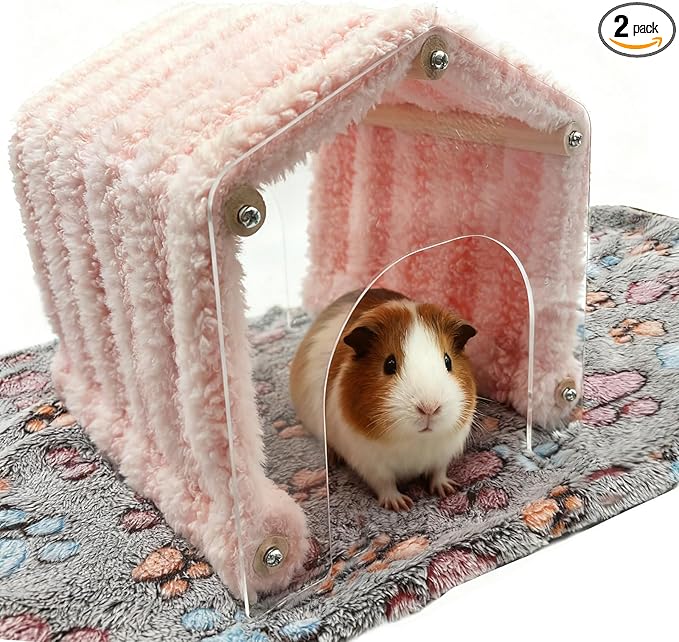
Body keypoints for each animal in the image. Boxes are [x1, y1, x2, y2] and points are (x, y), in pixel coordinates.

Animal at [289, 288, 477, 511]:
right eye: (389, 364)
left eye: (448, 361)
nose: (429, 408)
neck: (416, 441)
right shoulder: (371, 464)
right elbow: (385, 484)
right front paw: (400, 504)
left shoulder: (442, 455)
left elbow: (438, 472)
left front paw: (447, 489)